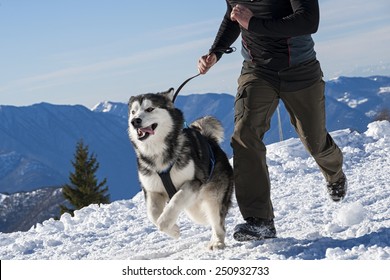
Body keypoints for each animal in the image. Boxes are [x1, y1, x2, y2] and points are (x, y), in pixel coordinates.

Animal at [127, 88, 235, 249]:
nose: (135, 121)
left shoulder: (194, 182)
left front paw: (165, 222)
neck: (158, 153)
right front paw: (173, 230)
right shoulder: (152, 189)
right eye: (133, 112)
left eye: (149, 109)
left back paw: (217, 242)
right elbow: (152, 213)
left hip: (214, 195)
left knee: (217, 222)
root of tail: (210, 140)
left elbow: (176, 200)